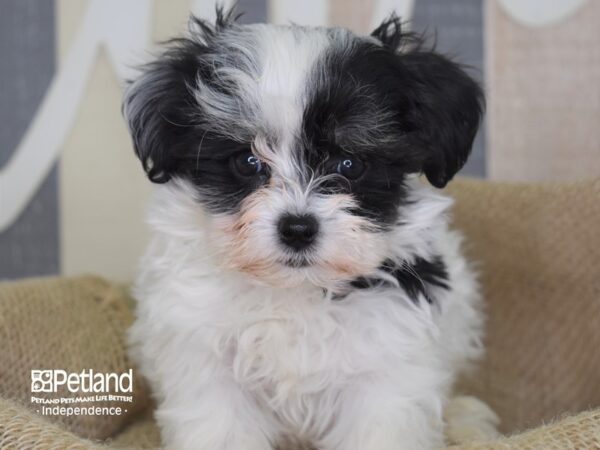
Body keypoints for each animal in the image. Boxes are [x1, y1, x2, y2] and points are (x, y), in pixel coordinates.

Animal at [125, 7, 488, 450]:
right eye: (247, 162)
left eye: (349, 163)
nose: (297, 228)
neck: (295, 292)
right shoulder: (204, 355)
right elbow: (221, 425)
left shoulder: (387, 363)